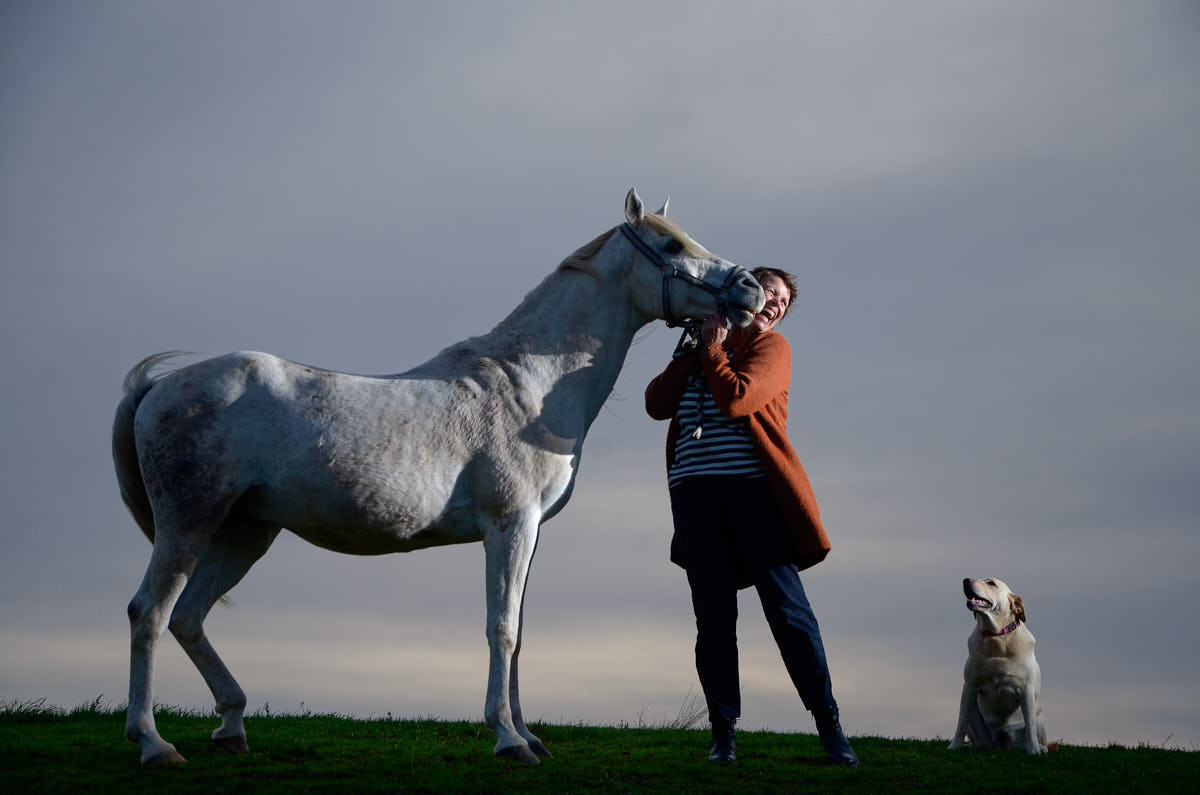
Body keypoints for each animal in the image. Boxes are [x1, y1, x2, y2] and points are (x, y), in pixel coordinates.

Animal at [114, 188, 768, 768]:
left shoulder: (528, 533)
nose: (750, 286)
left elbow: (519, 629)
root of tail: (159, 387)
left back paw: (231, 726)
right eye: (671, 244)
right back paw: (153, 744)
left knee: (189, 617)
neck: (527, 387)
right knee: (149, 613)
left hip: (245, 533)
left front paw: (530, 736)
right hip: (189, 523)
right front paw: (508, 740)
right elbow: (502, 630)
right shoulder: (510, 526)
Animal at [950, 578, 1046, 754]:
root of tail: (1001, 744)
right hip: (976, 720)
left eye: (991, 583)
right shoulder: (969, 686)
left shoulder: (1026, 690)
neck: (996, 638)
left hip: (1039, 715)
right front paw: (954, 746)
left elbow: (1031, 727)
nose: (965, 580)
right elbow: (961, 721)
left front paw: (1034, 750)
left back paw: (1041, 748)